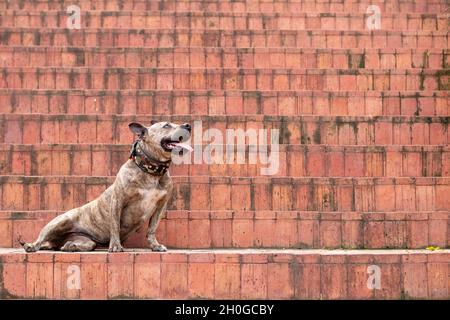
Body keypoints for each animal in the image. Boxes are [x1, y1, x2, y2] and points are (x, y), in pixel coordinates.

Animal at [22, 121, 192, 251]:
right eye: (166, 125)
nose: (188, 125)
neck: (151, 171)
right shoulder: (117, 200)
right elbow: (115, 225)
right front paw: (116, 246)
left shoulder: (160, 206)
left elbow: (152, 229)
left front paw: (155, 246)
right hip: (60, 222)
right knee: (41, 239)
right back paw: (31, 246)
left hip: (84, 240)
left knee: (85, 244)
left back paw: (71, 246)